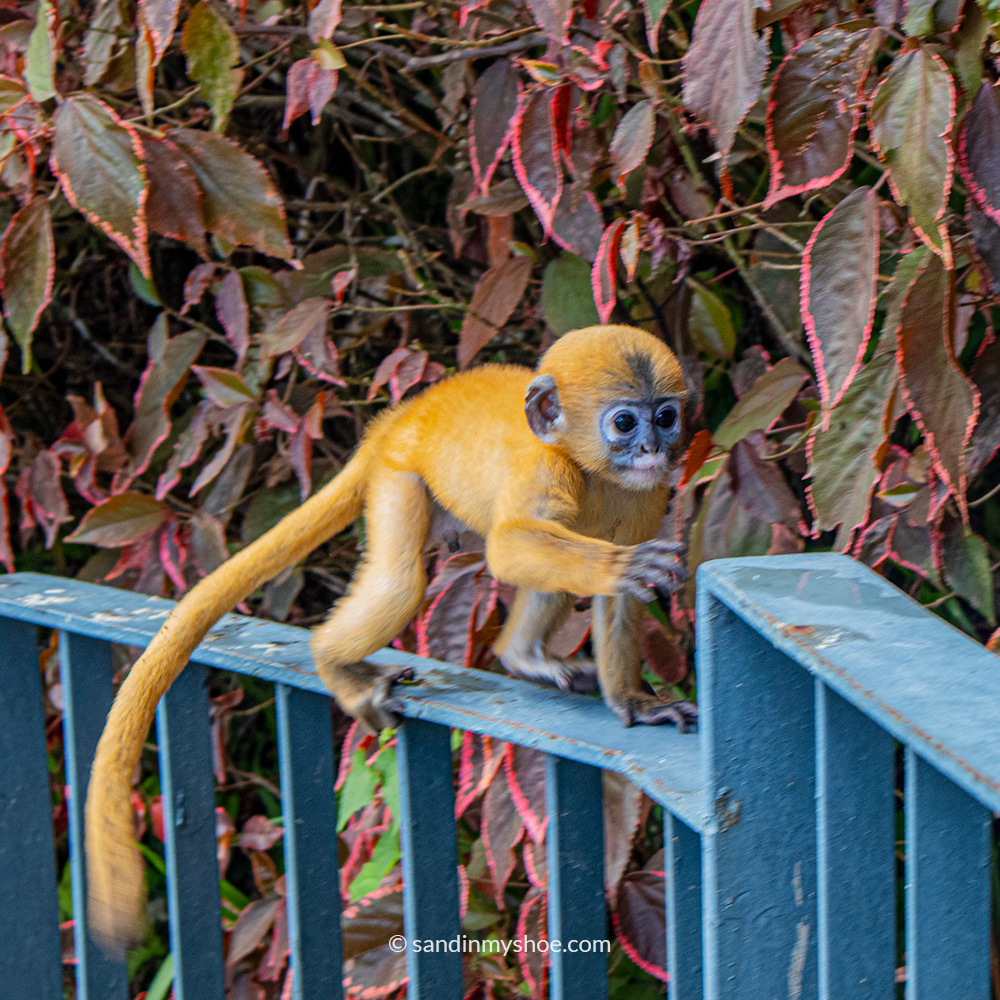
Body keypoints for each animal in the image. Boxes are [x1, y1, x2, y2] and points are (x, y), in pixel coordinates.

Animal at [85, 323, 695, 948]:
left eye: (665, 416)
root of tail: (401, 416)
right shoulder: (546, 469)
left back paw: (520, 656)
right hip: (399, 473)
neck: (591, 468)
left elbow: (618, 598)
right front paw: (621, 569)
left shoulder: (649, 493)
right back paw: (335, 664)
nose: (653, 448)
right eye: (624, 423)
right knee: (406, 582)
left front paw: (634, 702)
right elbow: (514, 548)